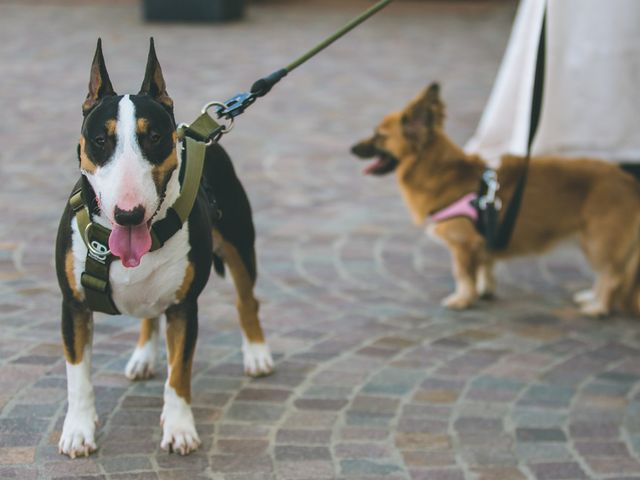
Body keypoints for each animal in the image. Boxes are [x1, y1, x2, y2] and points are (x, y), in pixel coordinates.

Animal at [55, 40, 272, 458]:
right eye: (101, 140)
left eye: (153, 137)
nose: (129, 214)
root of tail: (201, 134)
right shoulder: (72, 306)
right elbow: (77, 379)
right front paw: (78, 432)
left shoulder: (184, 307)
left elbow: (179, 374)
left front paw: (180, 430)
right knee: (147, 314)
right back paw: (142, 358)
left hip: (240, 244)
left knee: (246, 299)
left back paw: (257, 354)